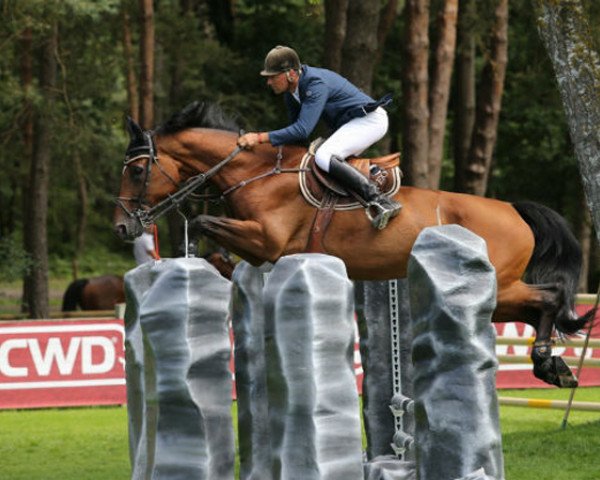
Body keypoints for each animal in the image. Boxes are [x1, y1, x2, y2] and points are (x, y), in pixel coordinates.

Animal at [113, 102, 596, 390]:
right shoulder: (260, 243)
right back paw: (553, 366)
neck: (254, 174)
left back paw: (548, 365)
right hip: (497, 297)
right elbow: (215, 243)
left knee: (548, 298)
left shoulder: (266, 241)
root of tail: (514, 209)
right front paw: (225, 273)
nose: (122, 227)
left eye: (136, 171)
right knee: (537, 308)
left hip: (500, 284)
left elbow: (205, 224)